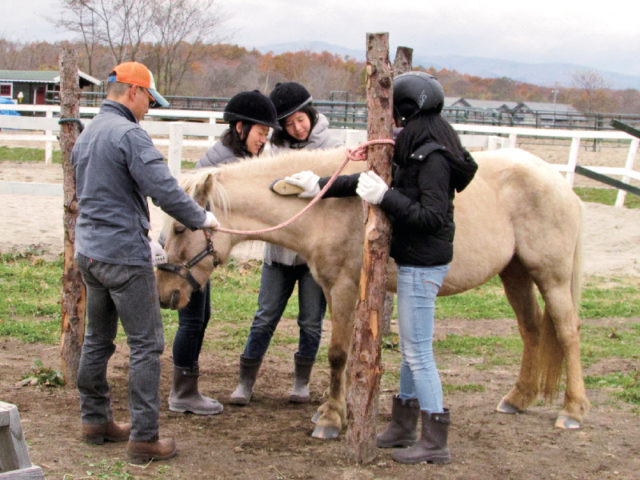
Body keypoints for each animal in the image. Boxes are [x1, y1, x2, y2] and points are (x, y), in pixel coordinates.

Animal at [155, 146, 589, 439]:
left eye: (179, 228)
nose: (164, 294)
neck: (326, 206)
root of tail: (559, 183)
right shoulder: (332, 289)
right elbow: (345, 355)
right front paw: (343, 409)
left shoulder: (346, 287)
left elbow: (337, 354)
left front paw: (332, 419)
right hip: (515, 274)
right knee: (532, 331)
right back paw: (518, 398)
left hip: (550, 276)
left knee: (567, 333)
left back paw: (573, 410)